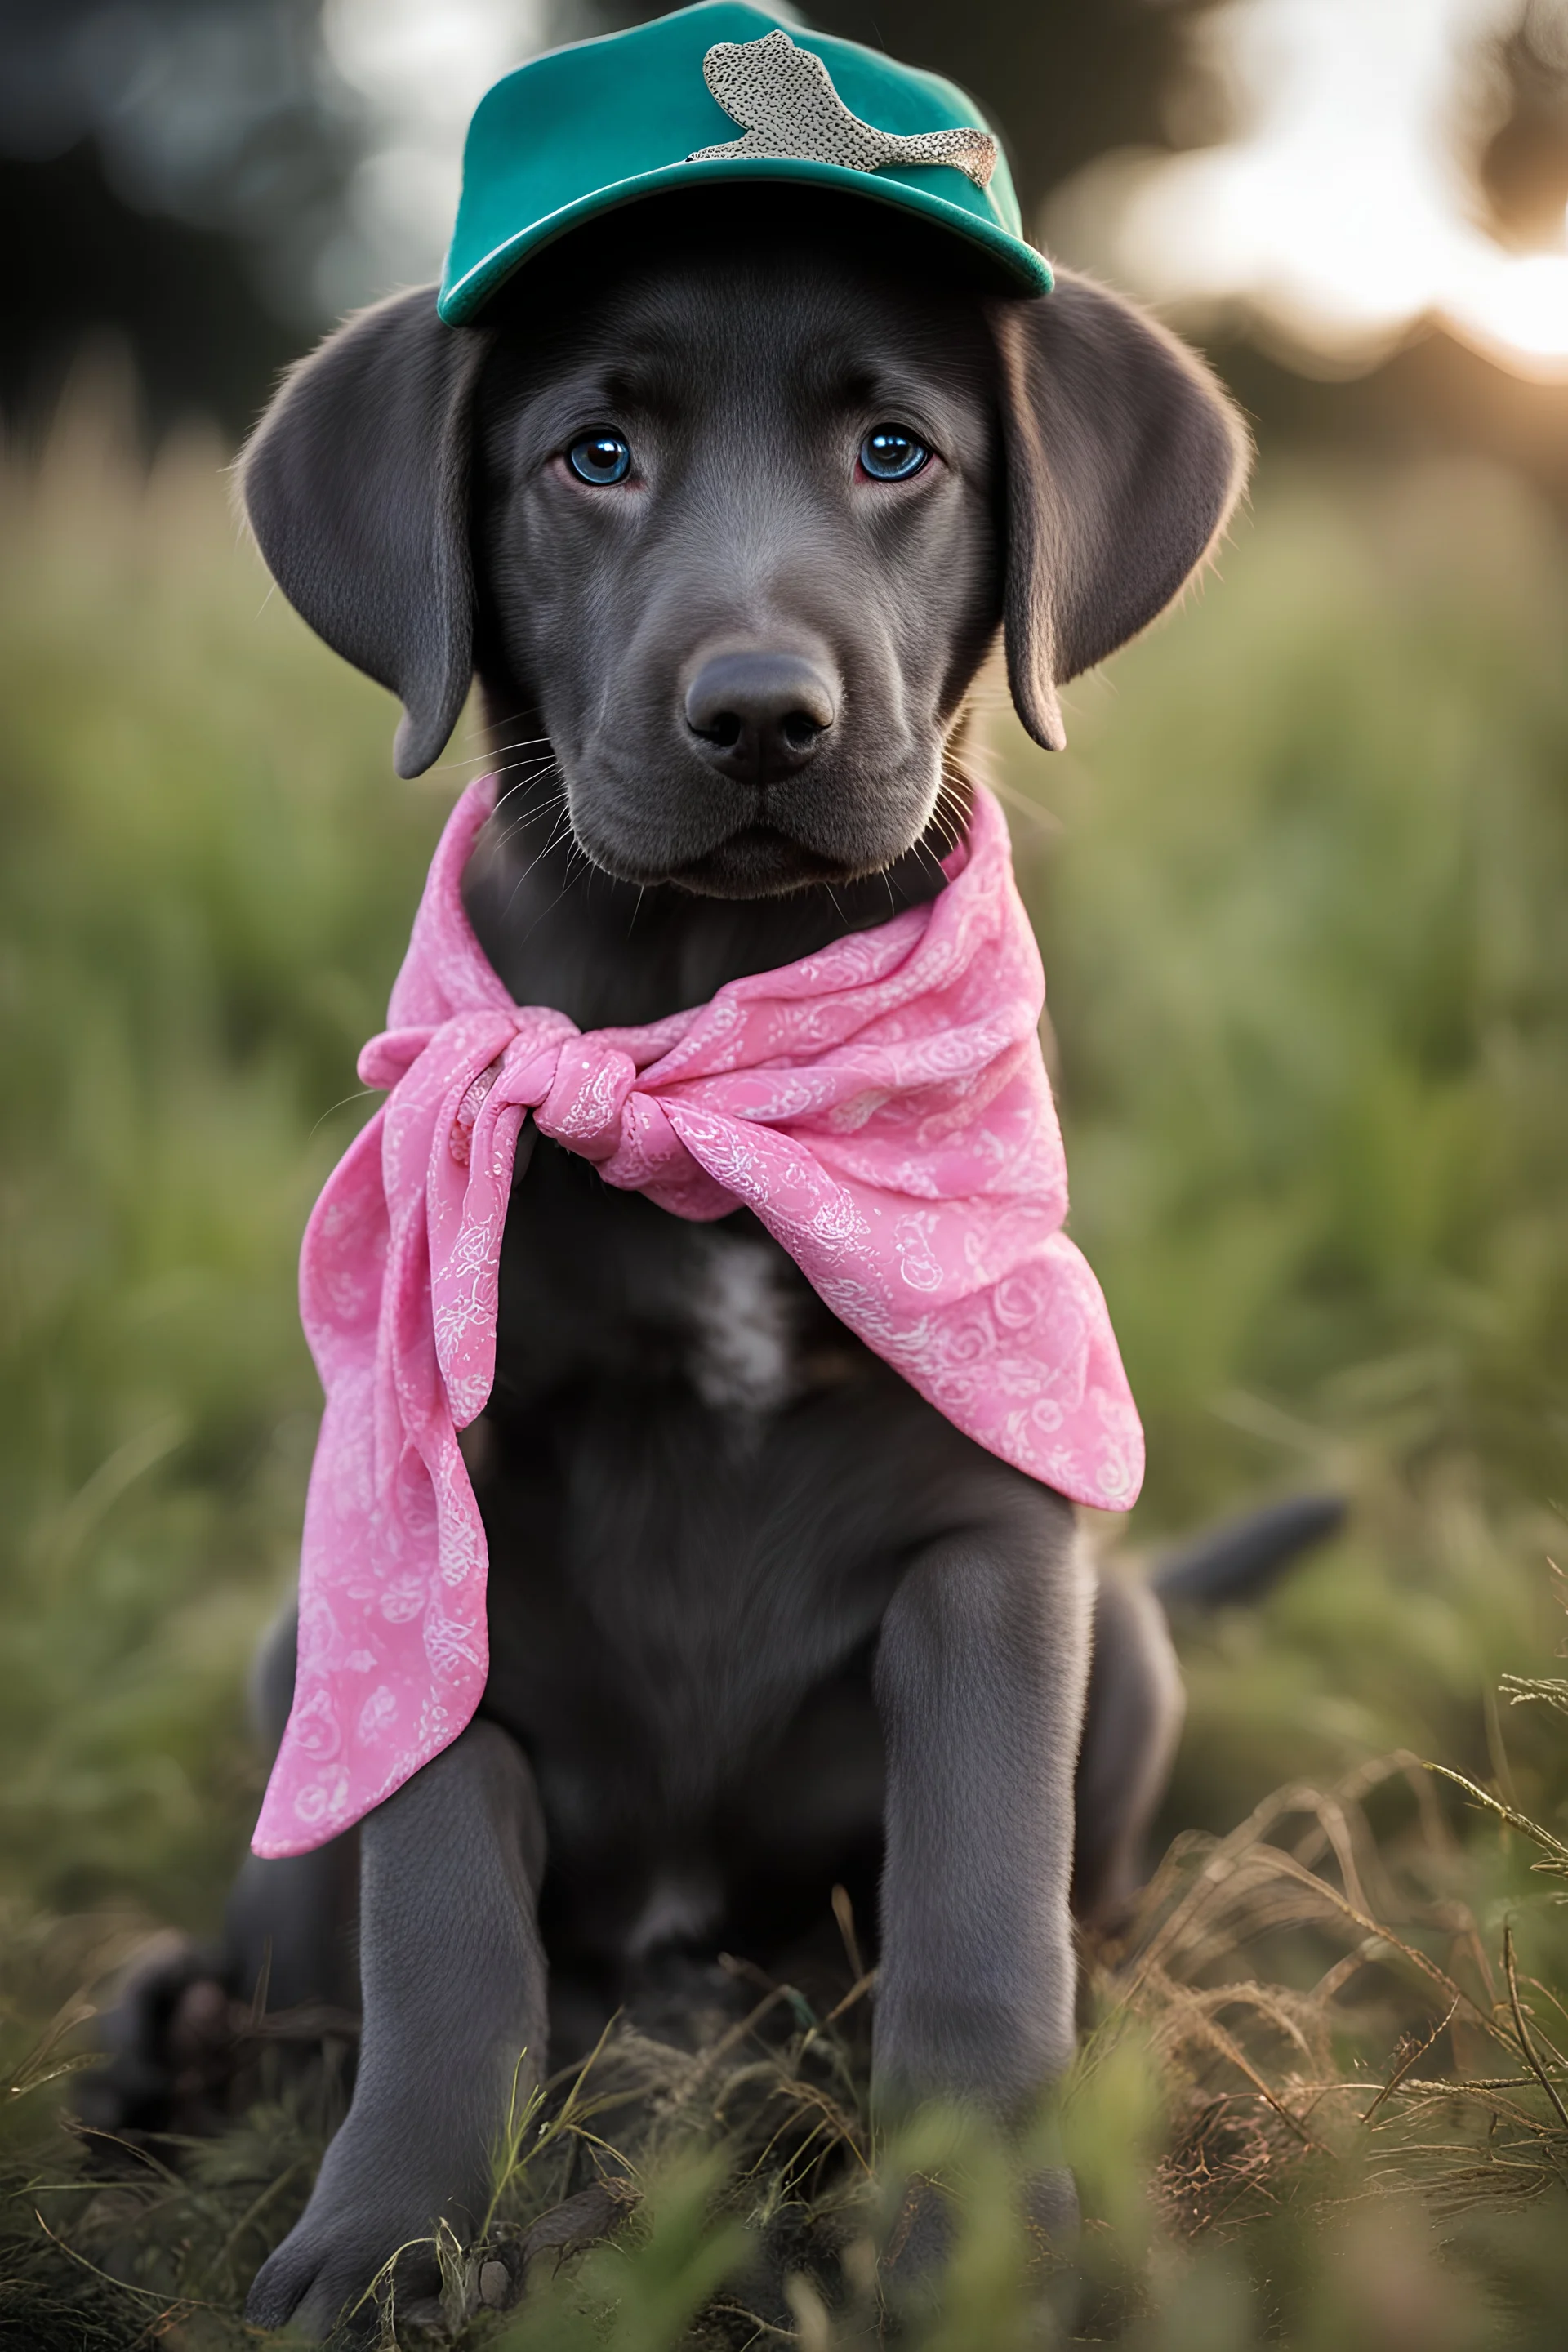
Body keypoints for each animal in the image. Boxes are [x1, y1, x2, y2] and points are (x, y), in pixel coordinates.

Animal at [88, 188, 1250, 2332]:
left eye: (896, 450)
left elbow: (982, 1921)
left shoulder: (996, 1529)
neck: (704, 1040)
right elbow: (442, 1921)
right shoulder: (418, 1505)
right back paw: (182, 2047)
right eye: (595, 456)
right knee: (316, 1964)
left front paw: (982, 2241)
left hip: (1120, 1634)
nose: (762, 717)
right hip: (300, 1650)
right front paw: (387, 2235)